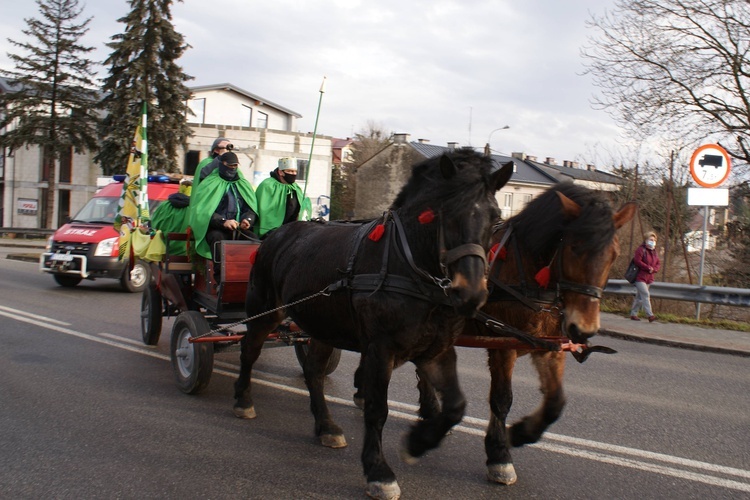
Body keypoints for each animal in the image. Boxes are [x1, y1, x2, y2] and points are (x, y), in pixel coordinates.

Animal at [235, 149, 516, 500]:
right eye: (449, 213)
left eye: (495, 218)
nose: (472, 293)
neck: (409, 266)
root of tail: (277, 234)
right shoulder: (380, 349)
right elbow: (377, 408)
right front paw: (378, 471)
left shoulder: (436, 350)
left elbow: (455, 406)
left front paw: (419, 441)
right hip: (265, 312)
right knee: (249, 351)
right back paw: (243, 400)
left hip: (323, 326)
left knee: (313, 372)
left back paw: (326, 426)